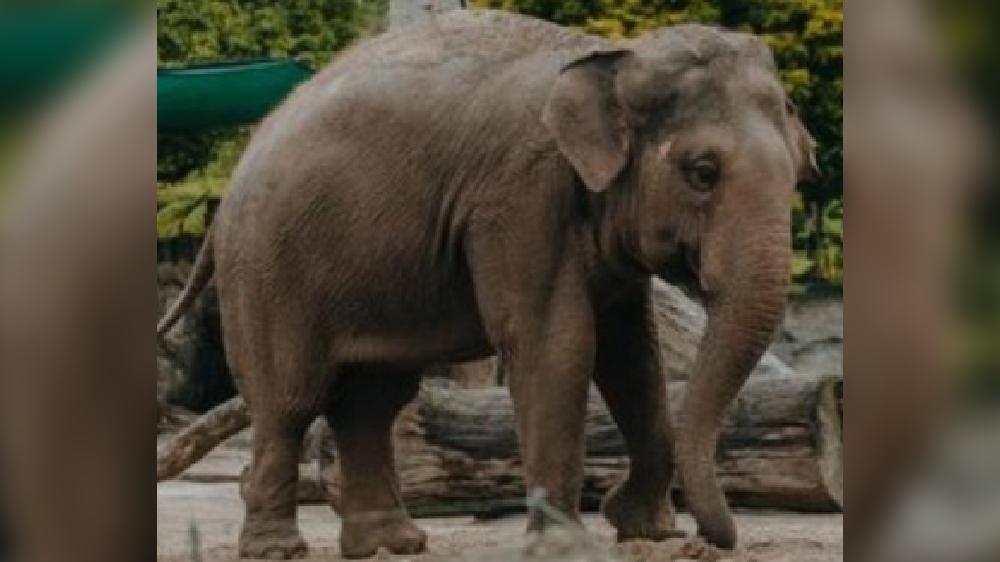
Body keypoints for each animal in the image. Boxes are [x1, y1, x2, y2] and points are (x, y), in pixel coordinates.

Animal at [157, 9, 817, 559]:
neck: (613, 60)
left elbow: (633, 357)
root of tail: (232, 179)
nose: (715, 539)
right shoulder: (519, 198)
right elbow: (559, 345)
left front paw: (645, 531)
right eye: (702, 173)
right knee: (290, 400)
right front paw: (566, 546)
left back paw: (391, 544)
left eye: (797, 174)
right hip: (268, 268)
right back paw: (280, 550)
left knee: (372, 400)